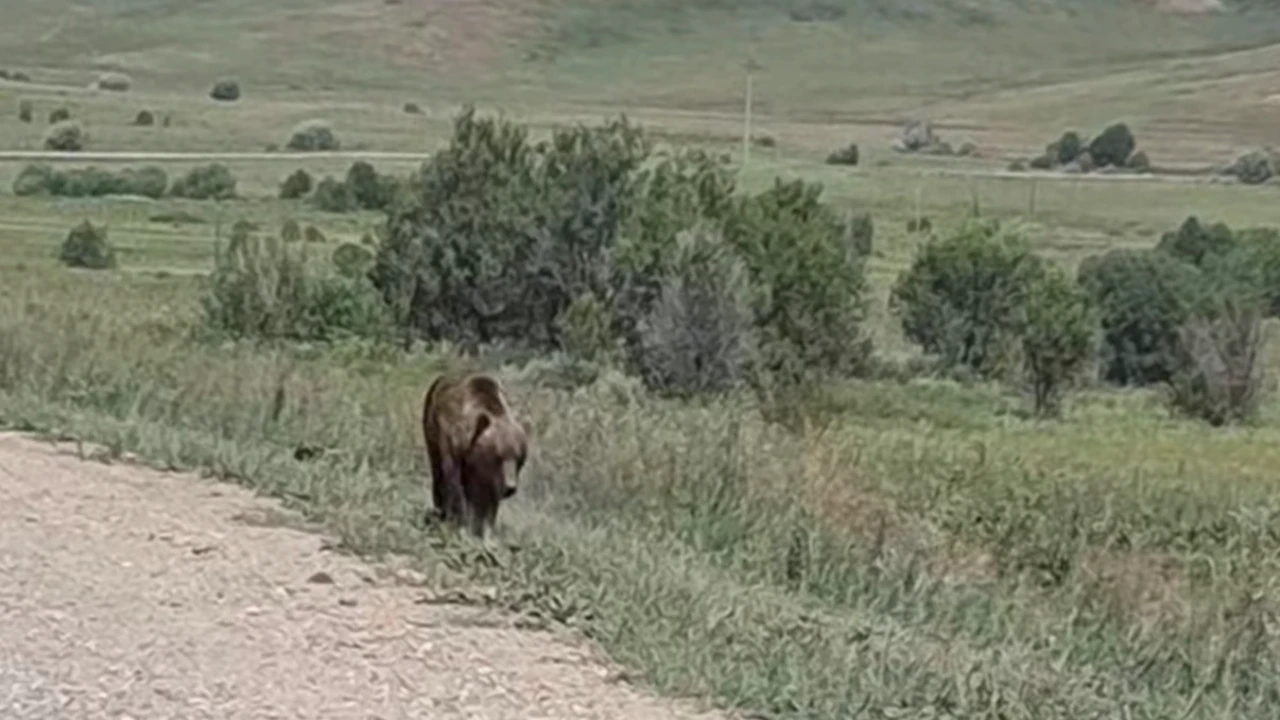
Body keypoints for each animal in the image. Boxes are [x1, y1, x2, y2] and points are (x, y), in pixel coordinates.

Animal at [421, 371, 530, 539]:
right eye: (499, 456)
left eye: (520, 459)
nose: (510, 487)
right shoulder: (450, 442)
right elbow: (454, 483)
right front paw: (458, 522)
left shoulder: (485, 471)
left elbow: (486, 497)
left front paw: (484, 528)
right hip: (430, 425)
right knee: (437, 469)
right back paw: (440, 510)